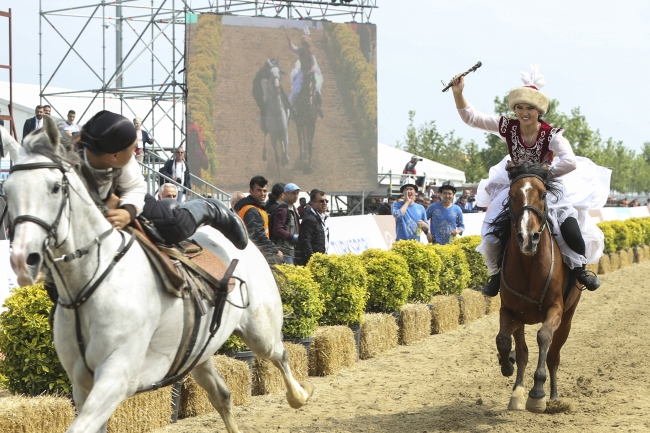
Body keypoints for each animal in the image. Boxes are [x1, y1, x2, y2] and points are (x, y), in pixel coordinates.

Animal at [0, 119, 314, 432]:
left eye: (55, 188)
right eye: (8, 190)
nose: (23, 260)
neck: (87, 285)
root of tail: (251, 245)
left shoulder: (116, 376)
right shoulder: (81, 385)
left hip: (260, 331)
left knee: (281, 355)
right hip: (198, 354)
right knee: (222, 395)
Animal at [492, 161, 584, 412]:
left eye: (543, 194)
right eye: (511, 195)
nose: (527, 238)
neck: (529, 267)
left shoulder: (556, 309)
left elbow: (543, 336)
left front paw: (537, 393)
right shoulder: (510, 310)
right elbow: (503, 340)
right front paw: (507, 364)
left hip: (568, 318)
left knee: (553, 356)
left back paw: (553, 397)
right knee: (523, 351)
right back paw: (516, 392)